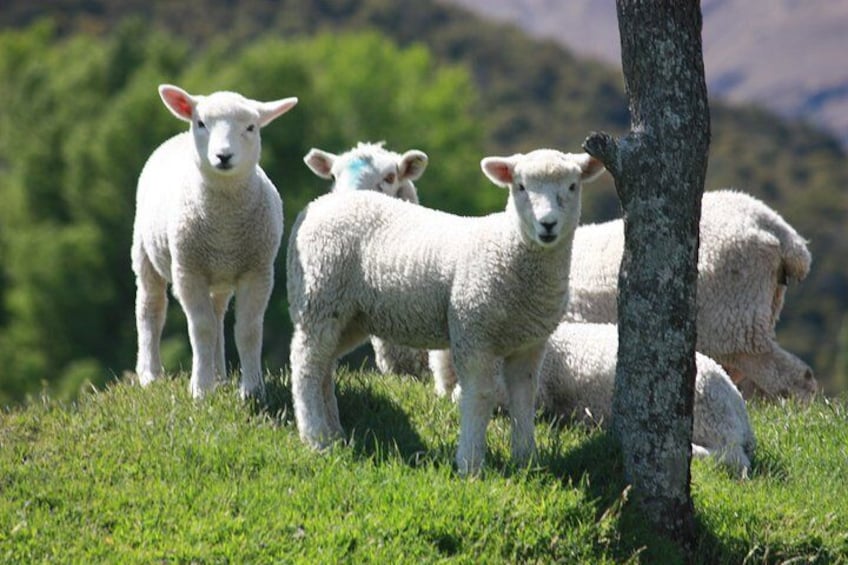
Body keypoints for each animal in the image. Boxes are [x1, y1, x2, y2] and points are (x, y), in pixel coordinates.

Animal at [134, 83, 300, 400]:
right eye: (201, 123)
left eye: (250, 127)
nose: (223, 156)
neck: (224, 227)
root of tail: (177, 137)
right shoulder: (189, 271)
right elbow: (201, 329)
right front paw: (200, 389)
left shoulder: (258, 271)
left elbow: (247, 330)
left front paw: (252, 389)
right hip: (145, 251)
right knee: (151, 307)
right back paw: (150, 374)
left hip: (220, 277)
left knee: (218, 315)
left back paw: (220, 375)